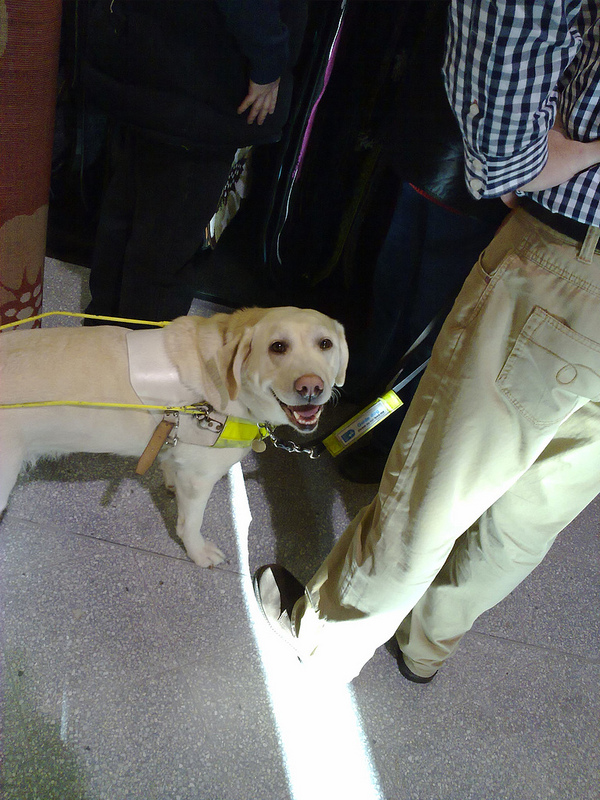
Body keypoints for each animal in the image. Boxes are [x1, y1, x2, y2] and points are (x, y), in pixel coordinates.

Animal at [0, 304, 350, 564]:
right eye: (278, 347)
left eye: (325, 344)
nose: (311, 387)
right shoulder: (200, 478)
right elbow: (190, 523)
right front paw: (198, 552)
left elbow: (170, 465)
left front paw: (168, 481)